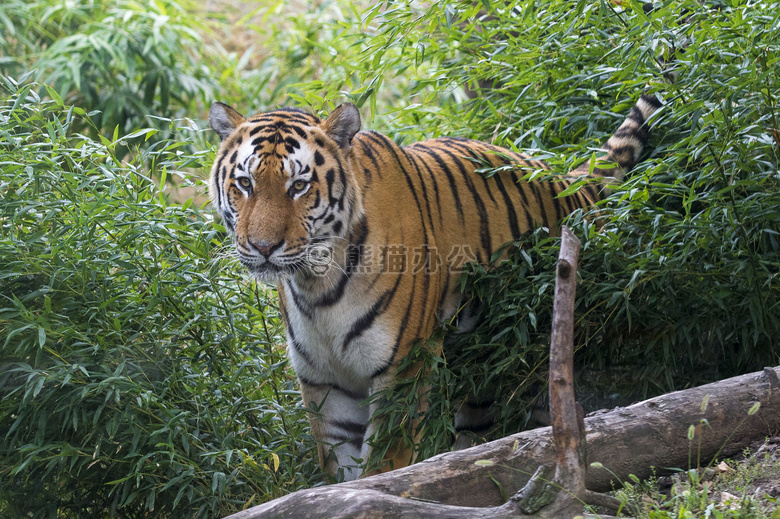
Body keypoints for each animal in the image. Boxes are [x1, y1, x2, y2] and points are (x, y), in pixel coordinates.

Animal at [206, 88, 660, 480]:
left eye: (298, 186)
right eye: (245, 183)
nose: (263, 247)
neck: (317, 285)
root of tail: (570, 179)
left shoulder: (403, 368)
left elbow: (383, 465)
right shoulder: (324, 381)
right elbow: (341, 469)